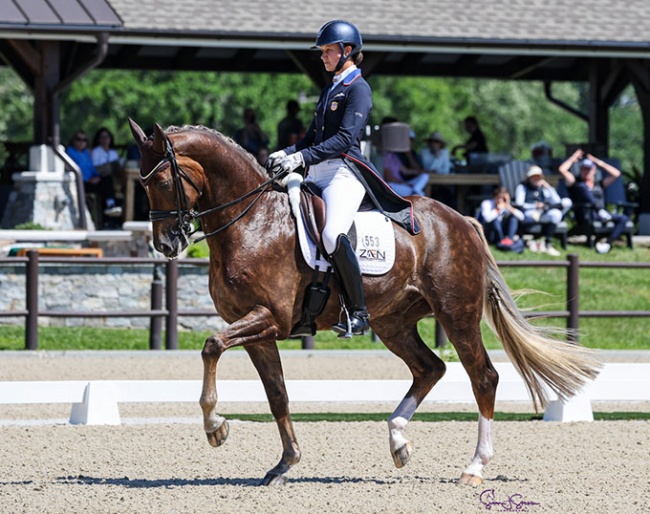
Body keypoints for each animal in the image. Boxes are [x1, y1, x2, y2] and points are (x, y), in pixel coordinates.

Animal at [126, 119, 596, 484]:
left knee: (483, 377)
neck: (254, 223)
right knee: (430, 368)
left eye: (163, 181)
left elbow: (211, 346)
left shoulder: (269, 319)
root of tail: (462, 219)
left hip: (456, 314)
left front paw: (216, 428)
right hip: (393, 322)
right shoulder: (259, 330)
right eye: (141, 184)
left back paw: (474, 467)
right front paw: (284, 463)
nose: (166, 245)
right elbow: (276, 393)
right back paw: (398, 441)